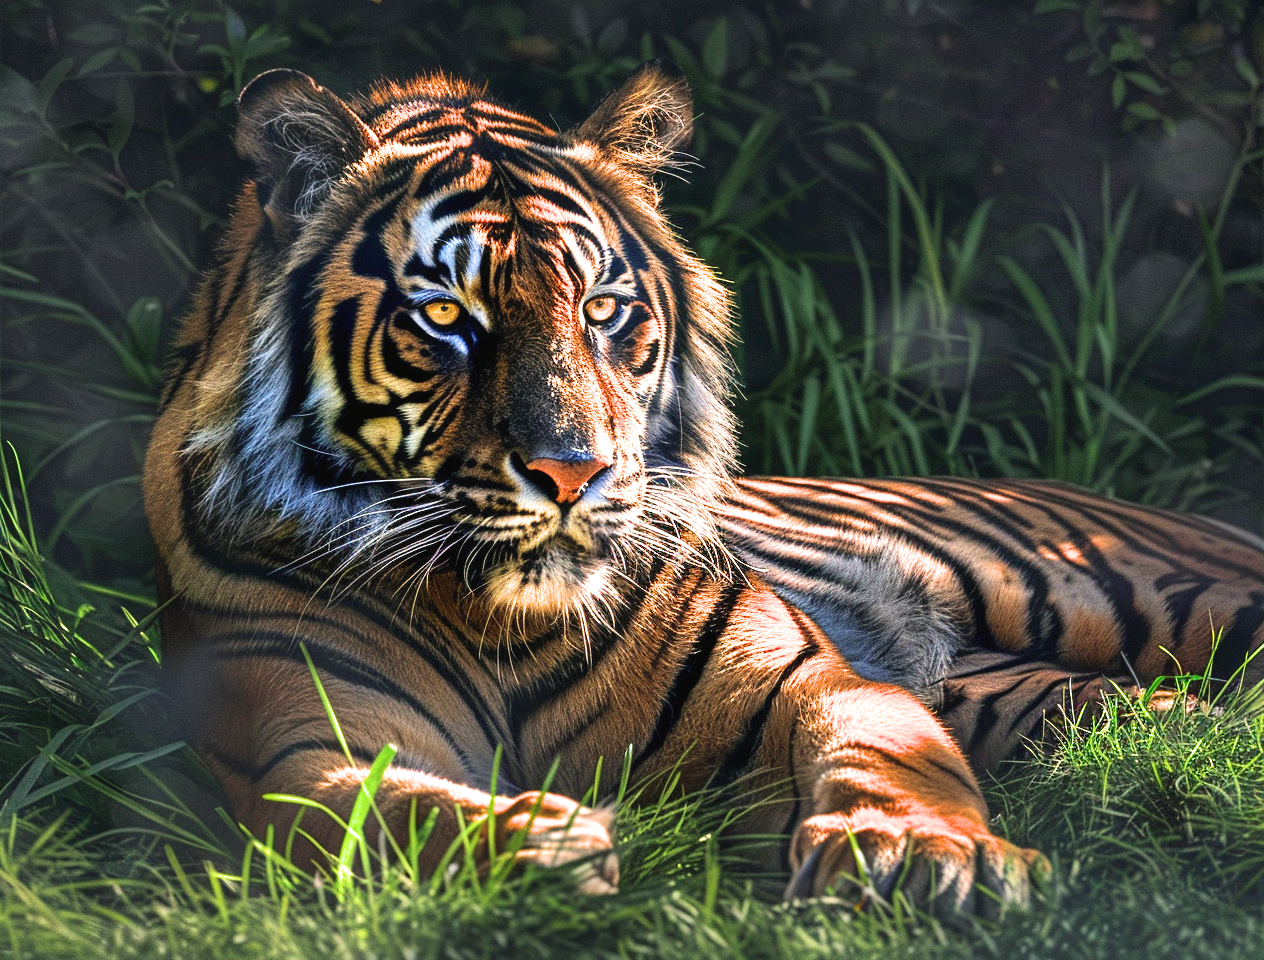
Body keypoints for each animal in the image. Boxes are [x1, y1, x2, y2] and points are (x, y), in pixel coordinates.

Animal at [142, 61, 1264, 914]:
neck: (505, 623)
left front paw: (921, 854)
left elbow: (892, 752)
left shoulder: (818, 681)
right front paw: (539, 849)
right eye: (448, 316)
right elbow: (374, 811)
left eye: (601, 309)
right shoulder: (294, 743)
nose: (572, 470)